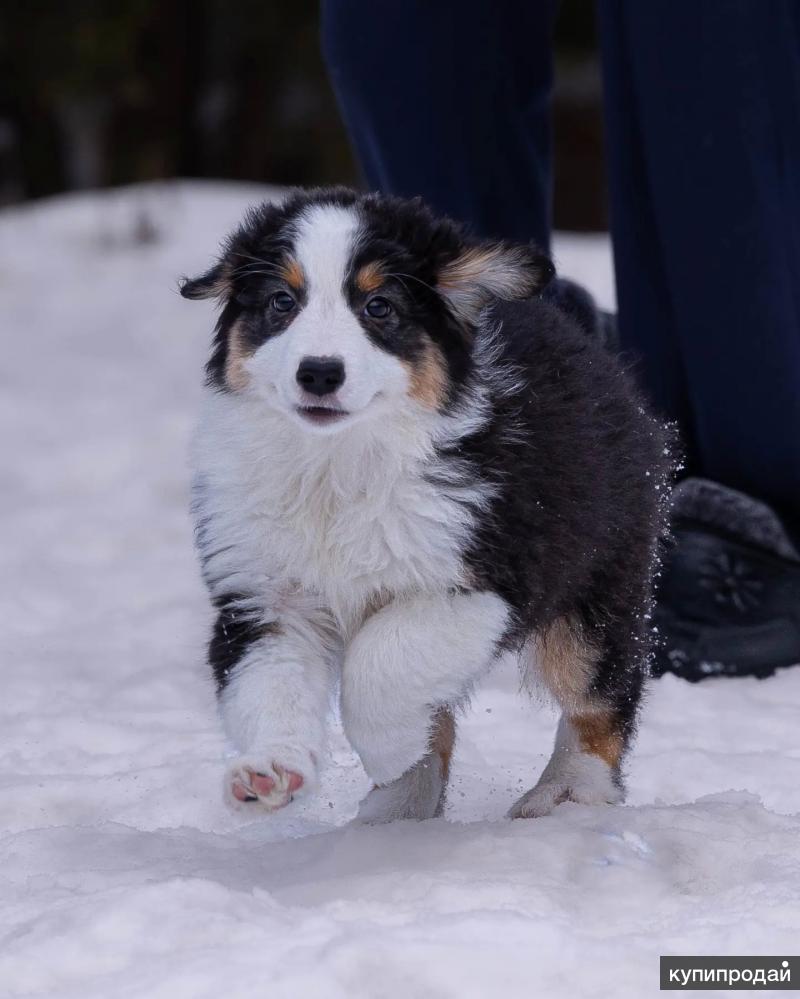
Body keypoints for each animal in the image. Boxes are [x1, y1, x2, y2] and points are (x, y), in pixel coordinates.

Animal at [180, 186, 668, 820]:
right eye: (282, 302)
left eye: (379, 307)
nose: (319, 373)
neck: (336, 468)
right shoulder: (263, 596)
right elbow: (269, 686)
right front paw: (270, 772)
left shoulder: (484, 581)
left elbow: (378, 665)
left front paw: (388, 752)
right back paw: (398, 809)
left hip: (600, 576)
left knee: (599, 694)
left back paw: (566, 793)